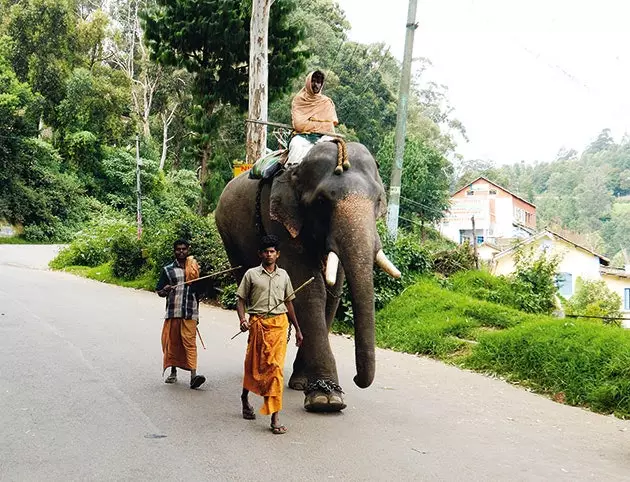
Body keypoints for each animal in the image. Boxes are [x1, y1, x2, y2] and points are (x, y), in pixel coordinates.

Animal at [215, 141, 402, 412]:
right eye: (322, 202)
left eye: (378, 199)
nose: (357, 379)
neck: (297, 169)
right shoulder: (278, 219)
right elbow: (308, 292)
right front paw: (327, 400)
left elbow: (332, 293)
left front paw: (307, 386)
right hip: (229, 237)